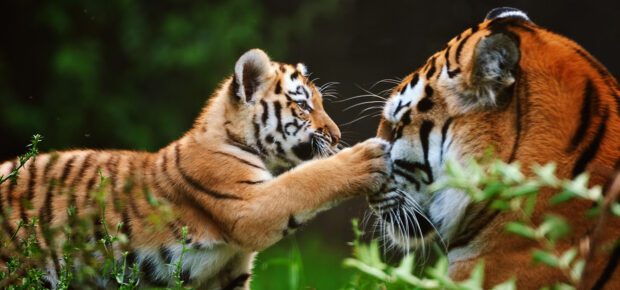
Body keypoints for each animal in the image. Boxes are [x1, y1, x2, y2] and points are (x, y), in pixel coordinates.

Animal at [0, 48, 390, 288]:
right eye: (304, 106)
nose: (337, 135)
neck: (231, 137)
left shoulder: (229, 271)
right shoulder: (249, 206)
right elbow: (306, 181)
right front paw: (365, 157)